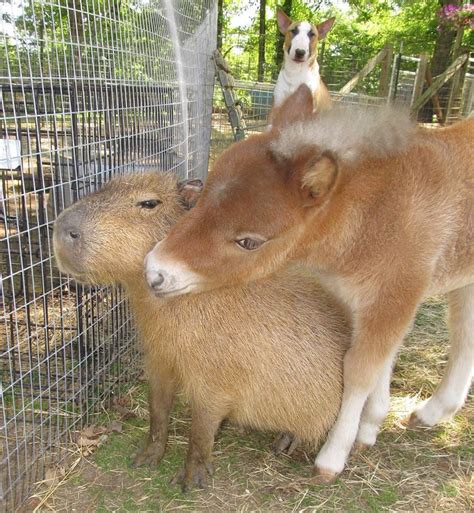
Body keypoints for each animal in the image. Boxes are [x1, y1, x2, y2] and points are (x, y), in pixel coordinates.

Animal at [144, 86, 474, 482]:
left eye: (249, 242)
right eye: (202, 194)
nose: (155, 271)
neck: (381, 213)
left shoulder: (394, 295)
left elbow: (360, 369)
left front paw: (334, 456)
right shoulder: (364, 300)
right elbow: (382, 361)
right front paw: (370, 428)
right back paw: (434, 412)